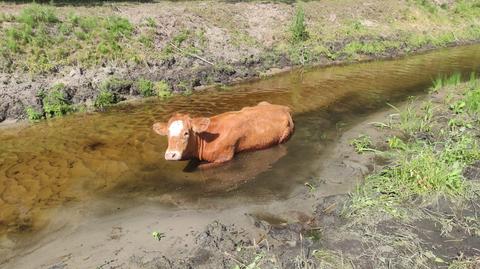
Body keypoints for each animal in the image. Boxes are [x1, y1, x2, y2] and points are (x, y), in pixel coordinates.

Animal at [153, 101, 292, 166]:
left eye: (186, 133)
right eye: (168, 133)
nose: (170, 155)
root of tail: (283, 107)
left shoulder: (224, 157)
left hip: (285, 135)